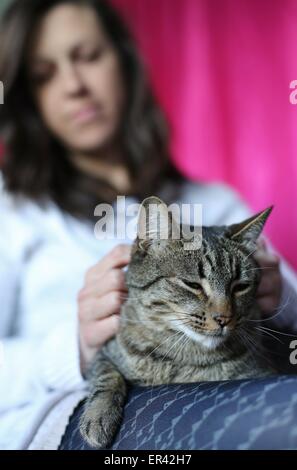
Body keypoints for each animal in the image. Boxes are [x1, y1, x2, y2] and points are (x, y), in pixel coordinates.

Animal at [79, 195, 276, 448]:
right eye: (192, 285)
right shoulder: (104, 354)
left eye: (240, 286)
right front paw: (98, 415)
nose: (224, 318)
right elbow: (106, 376)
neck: (181, 359)